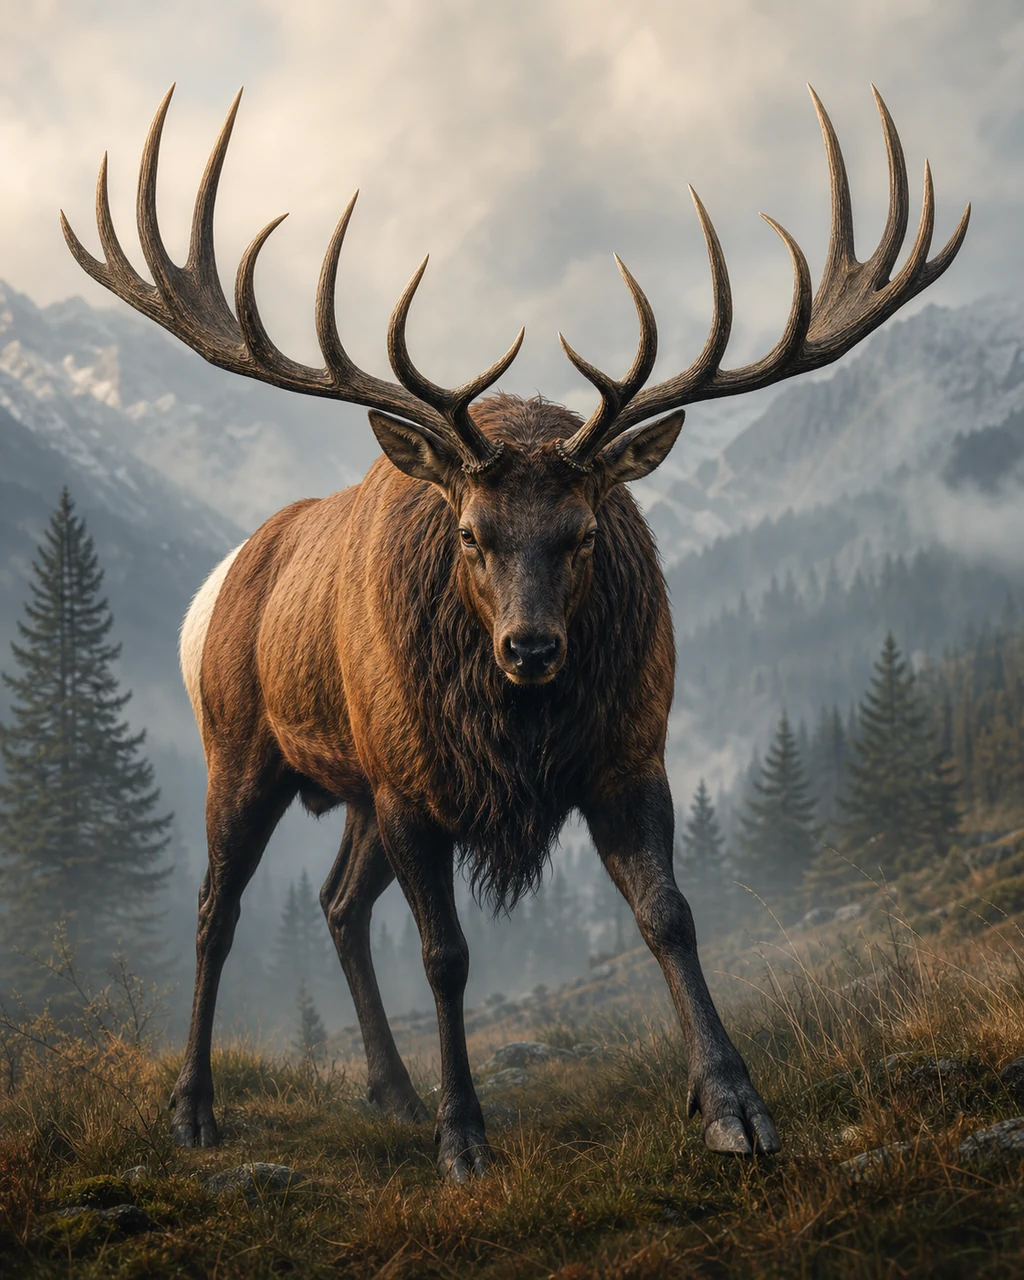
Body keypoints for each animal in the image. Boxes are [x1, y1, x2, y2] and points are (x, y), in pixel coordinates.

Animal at [62, 84, 967, 1179]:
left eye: (585, 532)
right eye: (468, 531)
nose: (531, 649)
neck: (522, 728)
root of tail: (219, 581)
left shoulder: (626, 754)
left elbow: (669, 915)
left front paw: (733, 1104)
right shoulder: (414, 788)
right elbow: (446, 955)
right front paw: (465, 1135)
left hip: (358, 780)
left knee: (336, 903)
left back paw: (392, 1091)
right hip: (244, 744)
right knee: (215, 910)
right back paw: (196, 1107)